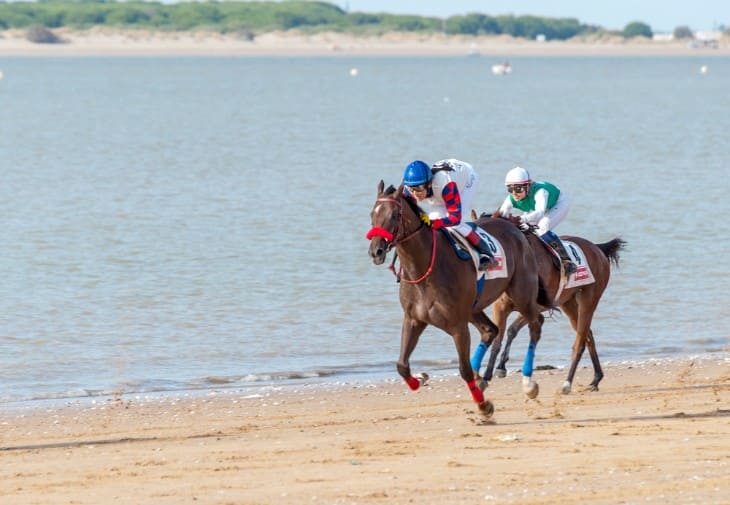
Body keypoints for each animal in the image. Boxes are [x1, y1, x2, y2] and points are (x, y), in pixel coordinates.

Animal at [366, 179, 548, 416]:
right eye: (372, 214)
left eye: (395, 215)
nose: (376, 251)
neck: (425, 268)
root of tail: (512, 226)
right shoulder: (413, 319)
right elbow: (402, 365)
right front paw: (420, 378)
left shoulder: (458, 326)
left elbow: (464, 369)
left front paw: (483, 406)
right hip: (475, 307)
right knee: (491, 330)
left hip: (522, 295)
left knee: (535, 326)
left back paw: (528, 383)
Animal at [474, 227, 624, 394]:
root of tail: (597, 248)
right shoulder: (501, 307)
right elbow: (501, 337)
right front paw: (491, 373)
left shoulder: (537, 306)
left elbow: (514, 329)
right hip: (569, 304)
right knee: (588, 335)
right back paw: (596, 379)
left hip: (589, 300)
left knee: (579, 343)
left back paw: (567, 383)